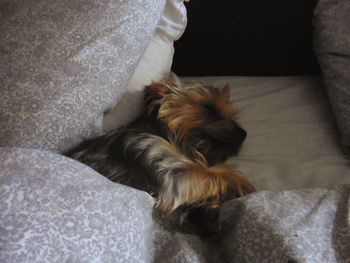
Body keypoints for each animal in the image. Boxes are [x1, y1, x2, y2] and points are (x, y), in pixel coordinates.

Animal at [65, 81, 256, 236]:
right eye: (209, 108)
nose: (243, 133)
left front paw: (210, 216)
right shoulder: (166, 169)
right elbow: (215, 173)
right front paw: (245, 188)